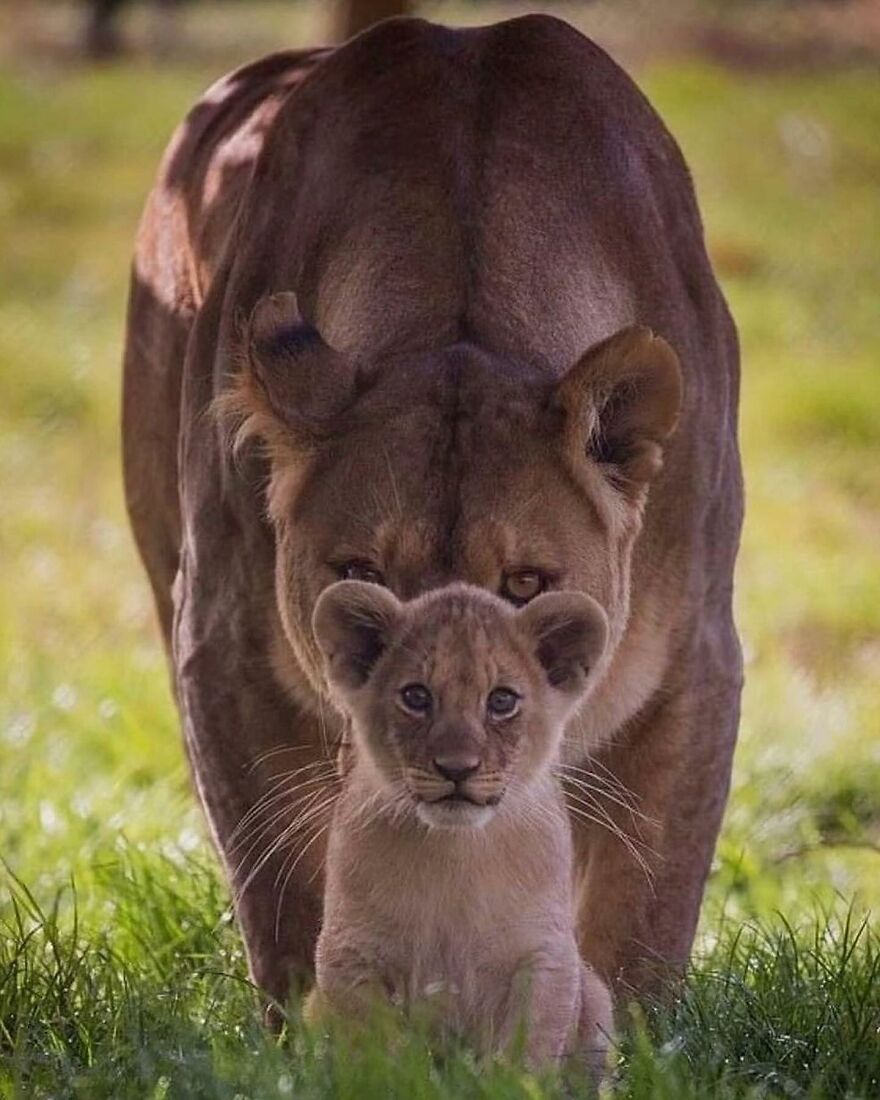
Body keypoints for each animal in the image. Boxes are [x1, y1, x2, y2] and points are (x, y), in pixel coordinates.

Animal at [122, 14, 743, 1013]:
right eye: (360, 574)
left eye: (525, 582)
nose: (448, 738)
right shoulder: (219, 647)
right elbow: (288, 891)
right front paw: (321, 1029)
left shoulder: (694, 661)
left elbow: (646, 910)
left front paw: (624, 1033)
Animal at [308, 579, 613, 1071]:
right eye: (416, 697)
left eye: (502, 701)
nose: (457, 768)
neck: (455, 851)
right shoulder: (350, 953)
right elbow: (377, 1048)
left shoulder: (543, 955)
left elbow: (527, 1048)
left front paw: (510, 1079)